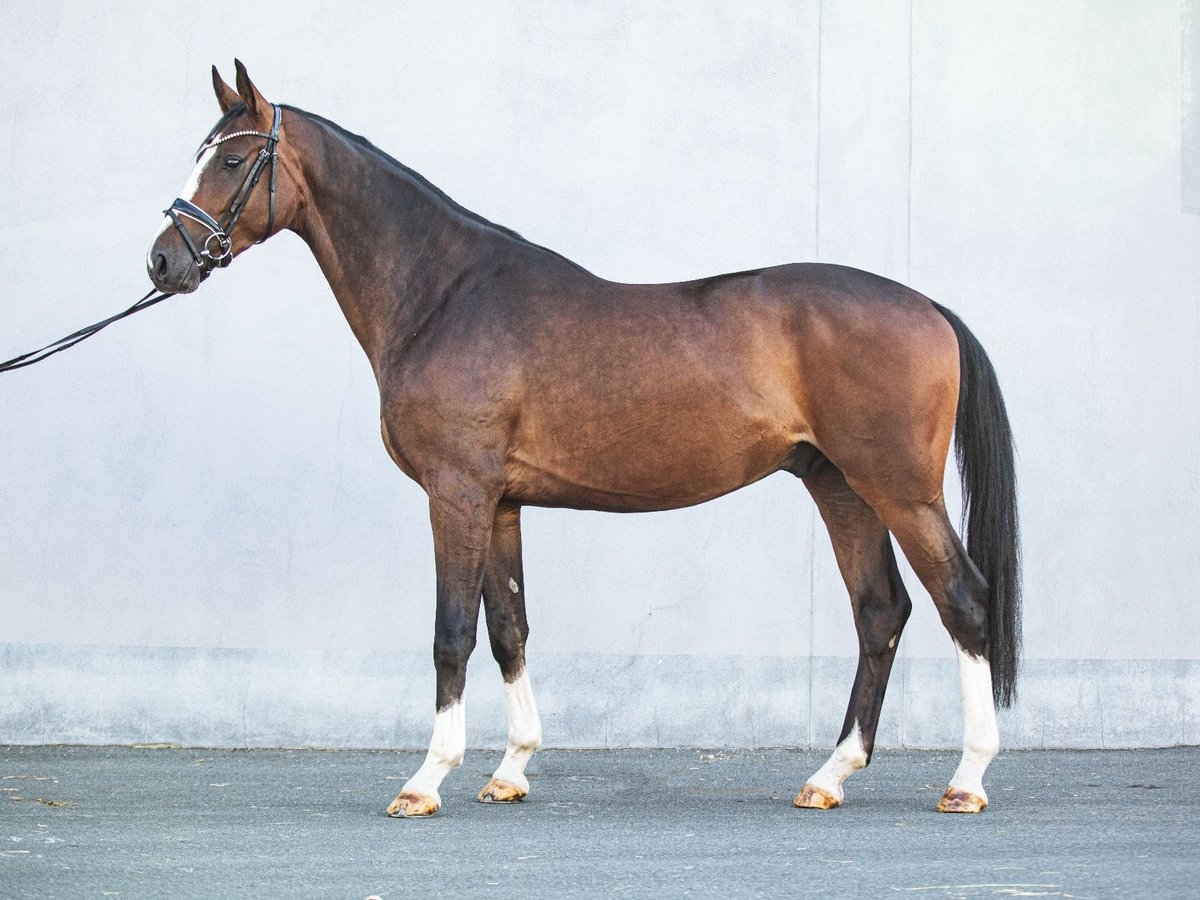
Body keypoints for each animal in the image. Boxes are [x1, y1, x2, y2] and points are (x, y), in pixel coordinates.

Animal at [142, 65, 1022, 816]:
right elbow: (510, 629)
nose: (162, 261)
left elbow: (452, 634)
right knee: (880, 611)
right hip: (839, 484)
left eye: (232, 159)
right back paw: (829, 776)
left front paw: (426, 779)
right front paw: (510, 770)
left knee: (963, 600)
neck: (444, 293)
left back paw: (967, 779)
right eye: (201, 155)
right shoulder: (500, 503)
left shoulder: (457, 493)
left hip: (898, 489)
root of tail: (927, 307)